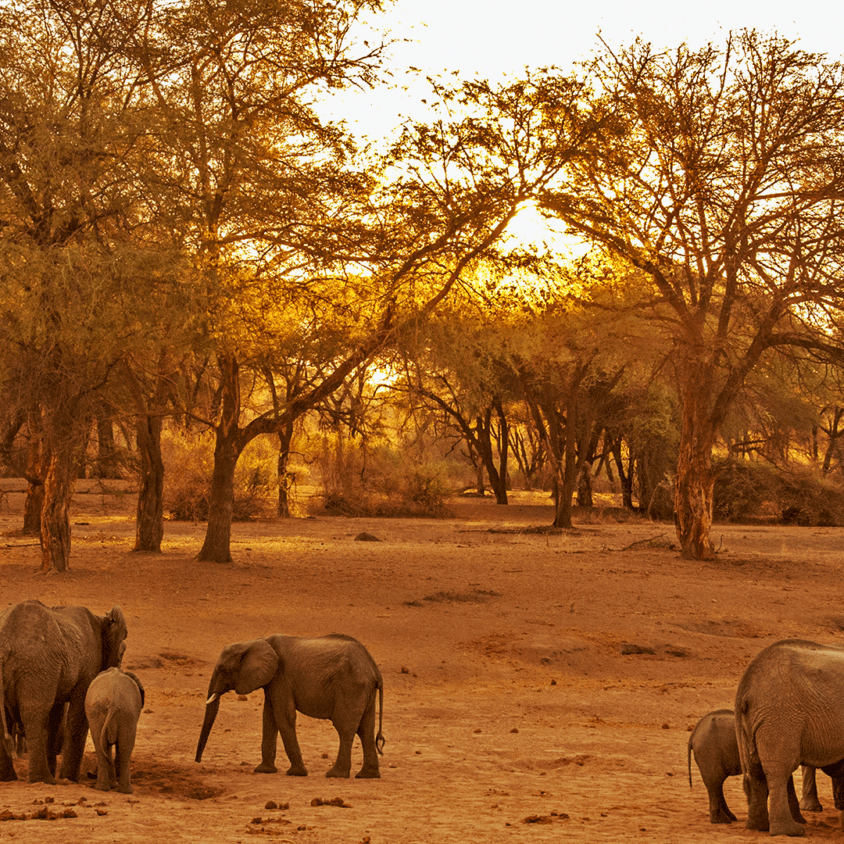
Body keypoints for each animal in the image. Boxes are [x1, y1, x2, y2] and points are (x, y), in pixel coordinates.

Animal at [0, 599, 127, 784]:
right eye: (121, 654)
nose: (91, 774)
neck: (101, 619)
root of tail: (6, 639)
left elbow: (57, 713)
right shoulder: (88, 665)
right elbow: (79, 712)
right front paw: (70, 779)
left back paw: (8, 778)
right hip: (37, 666)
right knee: (35, 714)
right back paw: (44, 780)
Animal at [195, 633, 385, 779]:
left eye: (223, 670)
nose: (197, 761)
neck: (255, 641)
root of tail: (375, 669)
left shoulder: (281, 676)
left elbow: (282, 716)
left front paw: (296, 773)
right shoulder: (272, 681)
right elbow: (268, 718)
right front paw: (263, 771)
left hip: (351, 686)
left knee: (345, 728)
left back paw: (335, 775)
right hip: (364, 690)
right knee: (366, 730)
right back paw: (367, 775)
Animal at [687, 708, 818, 825]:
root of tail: (693, 734)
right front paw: (800, 822)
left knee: (718, 783)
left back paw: (730, 817)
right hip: (709, 752)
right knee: (714, 783)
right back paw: (722, 821)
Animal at [736, 638, 844, 836]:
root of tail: (745, 685)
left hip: (752, 721)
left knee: (755, 769)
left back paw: (757, 827)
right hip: (779, 716)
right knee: (779, 770)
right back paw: (790, 831)